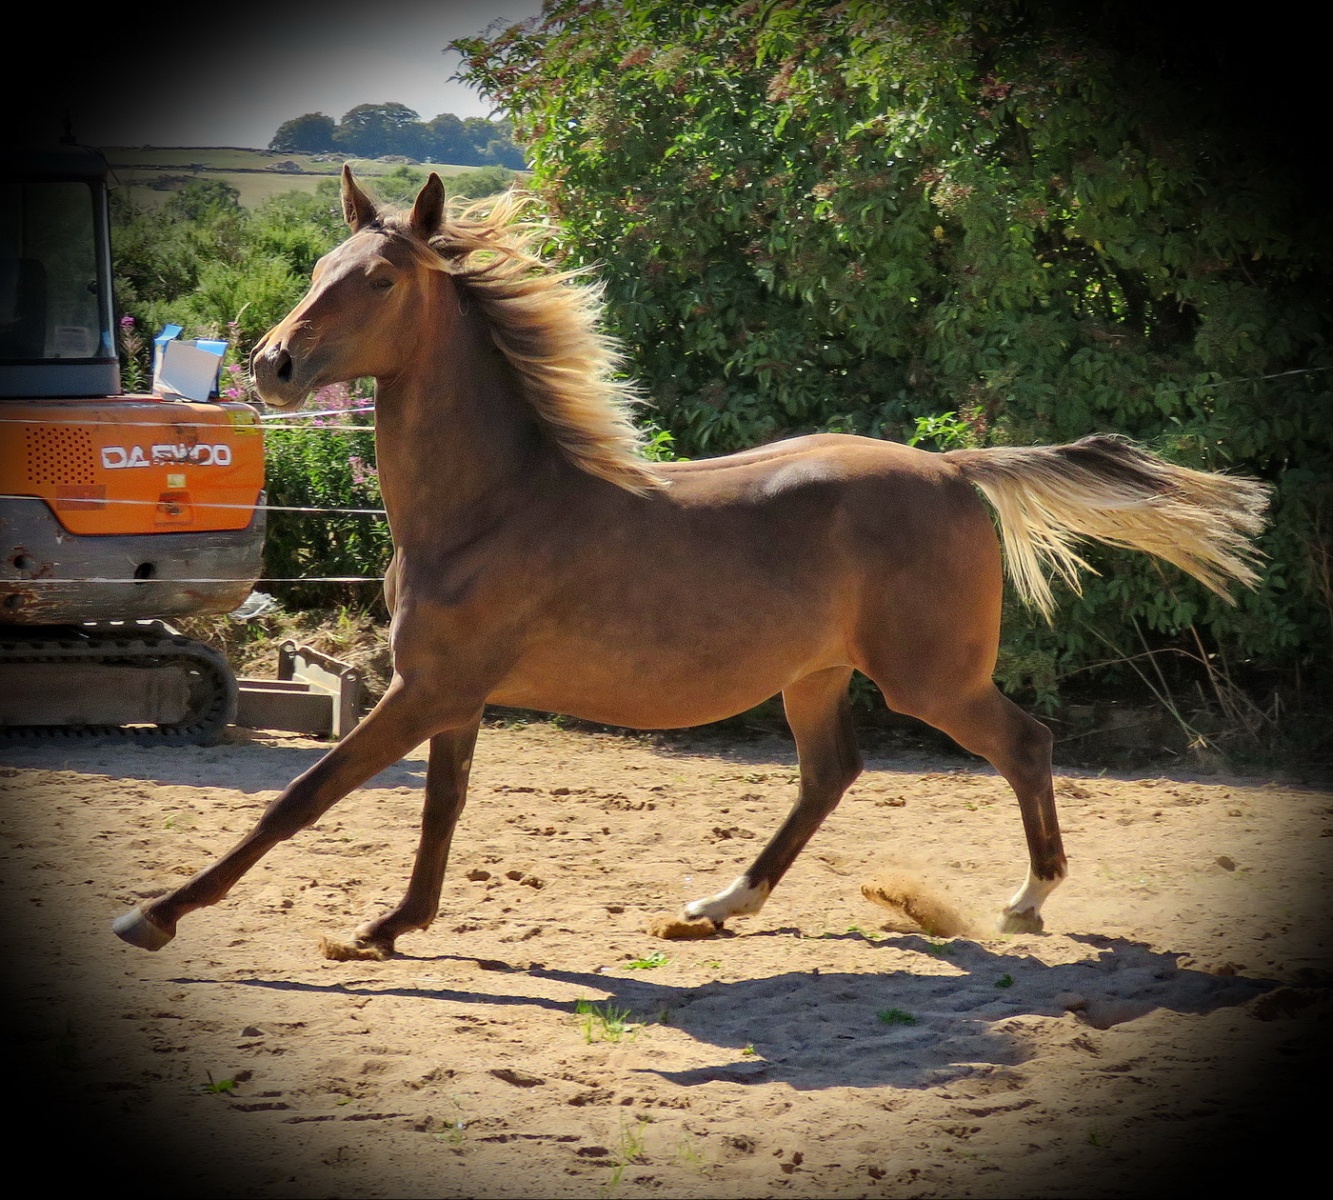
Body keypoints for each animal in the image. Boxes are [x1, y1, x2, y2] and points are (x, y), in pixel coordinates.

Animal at [112, 167, 1269, 958]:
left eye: (383, 279)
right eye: (319, 271)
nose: (273, 365)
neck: (489, 506)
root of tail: (950, 467)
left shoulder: (424, 689)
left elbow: (301, 798)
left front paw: (157, 915)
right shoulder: (452, 695)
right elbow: (441, 807)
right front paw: (394, 925)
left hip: (929, 679)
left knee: (1023, 745)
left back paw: (1025, 904)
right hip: (814, 675)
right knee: (830, 773)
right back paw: (720, 904)